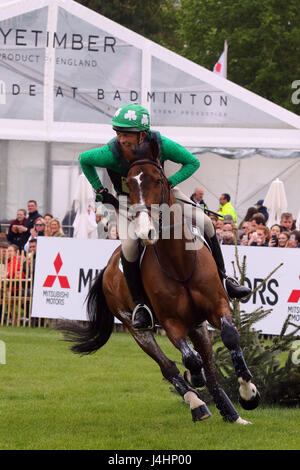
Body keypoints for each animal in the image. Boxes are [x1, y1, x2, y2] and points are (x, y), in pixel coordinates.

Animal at [58, 140, 260, 426]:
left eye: (158, 180)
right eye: (130, 184)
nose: (146, 231)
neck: (179, 263)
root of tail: (108, 267)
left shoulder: (217, 306)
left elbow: (230, 337)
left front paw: (248, 393)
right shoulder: (171, 323)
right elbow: (189, 358)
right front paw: (195, 378)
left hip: (197, 325)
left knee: (209, 367)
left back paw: (230, 412)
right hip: (137, 329)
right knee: (169, 366)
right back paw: (197, 403)